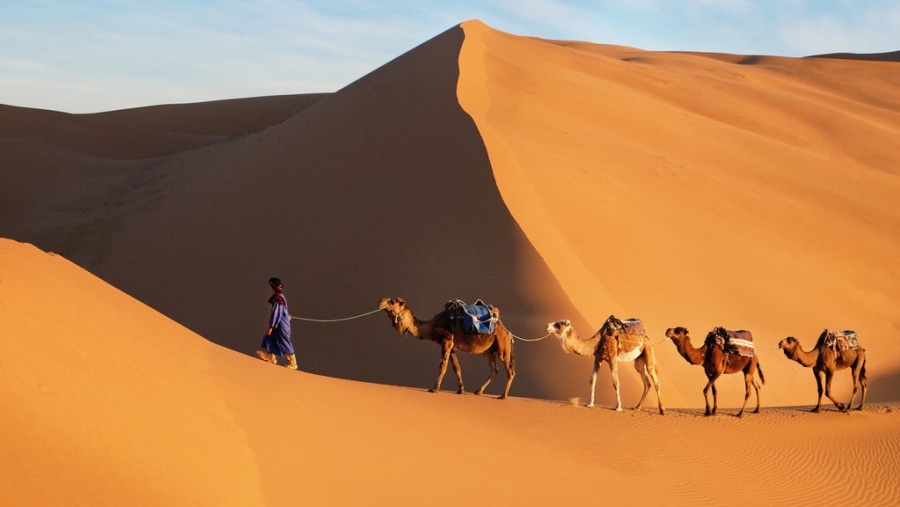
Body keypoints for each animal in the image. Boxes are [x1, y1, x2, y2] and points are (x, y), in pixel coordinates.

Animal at [374, 298, 512, 400]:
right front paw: (461, 391)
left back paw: (503, 396)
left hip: (503, 346)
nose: (380, 301)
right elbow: (457, 368)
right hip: (488, 351)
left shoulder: (446, 341)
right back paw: (478, 391)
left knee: (510, 370)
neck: (431, 327)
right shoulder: (451, 346)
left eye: (392, 301)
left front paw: (434, 389)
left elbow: (442, 366)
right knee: (494, 370)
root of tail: (507, 332)